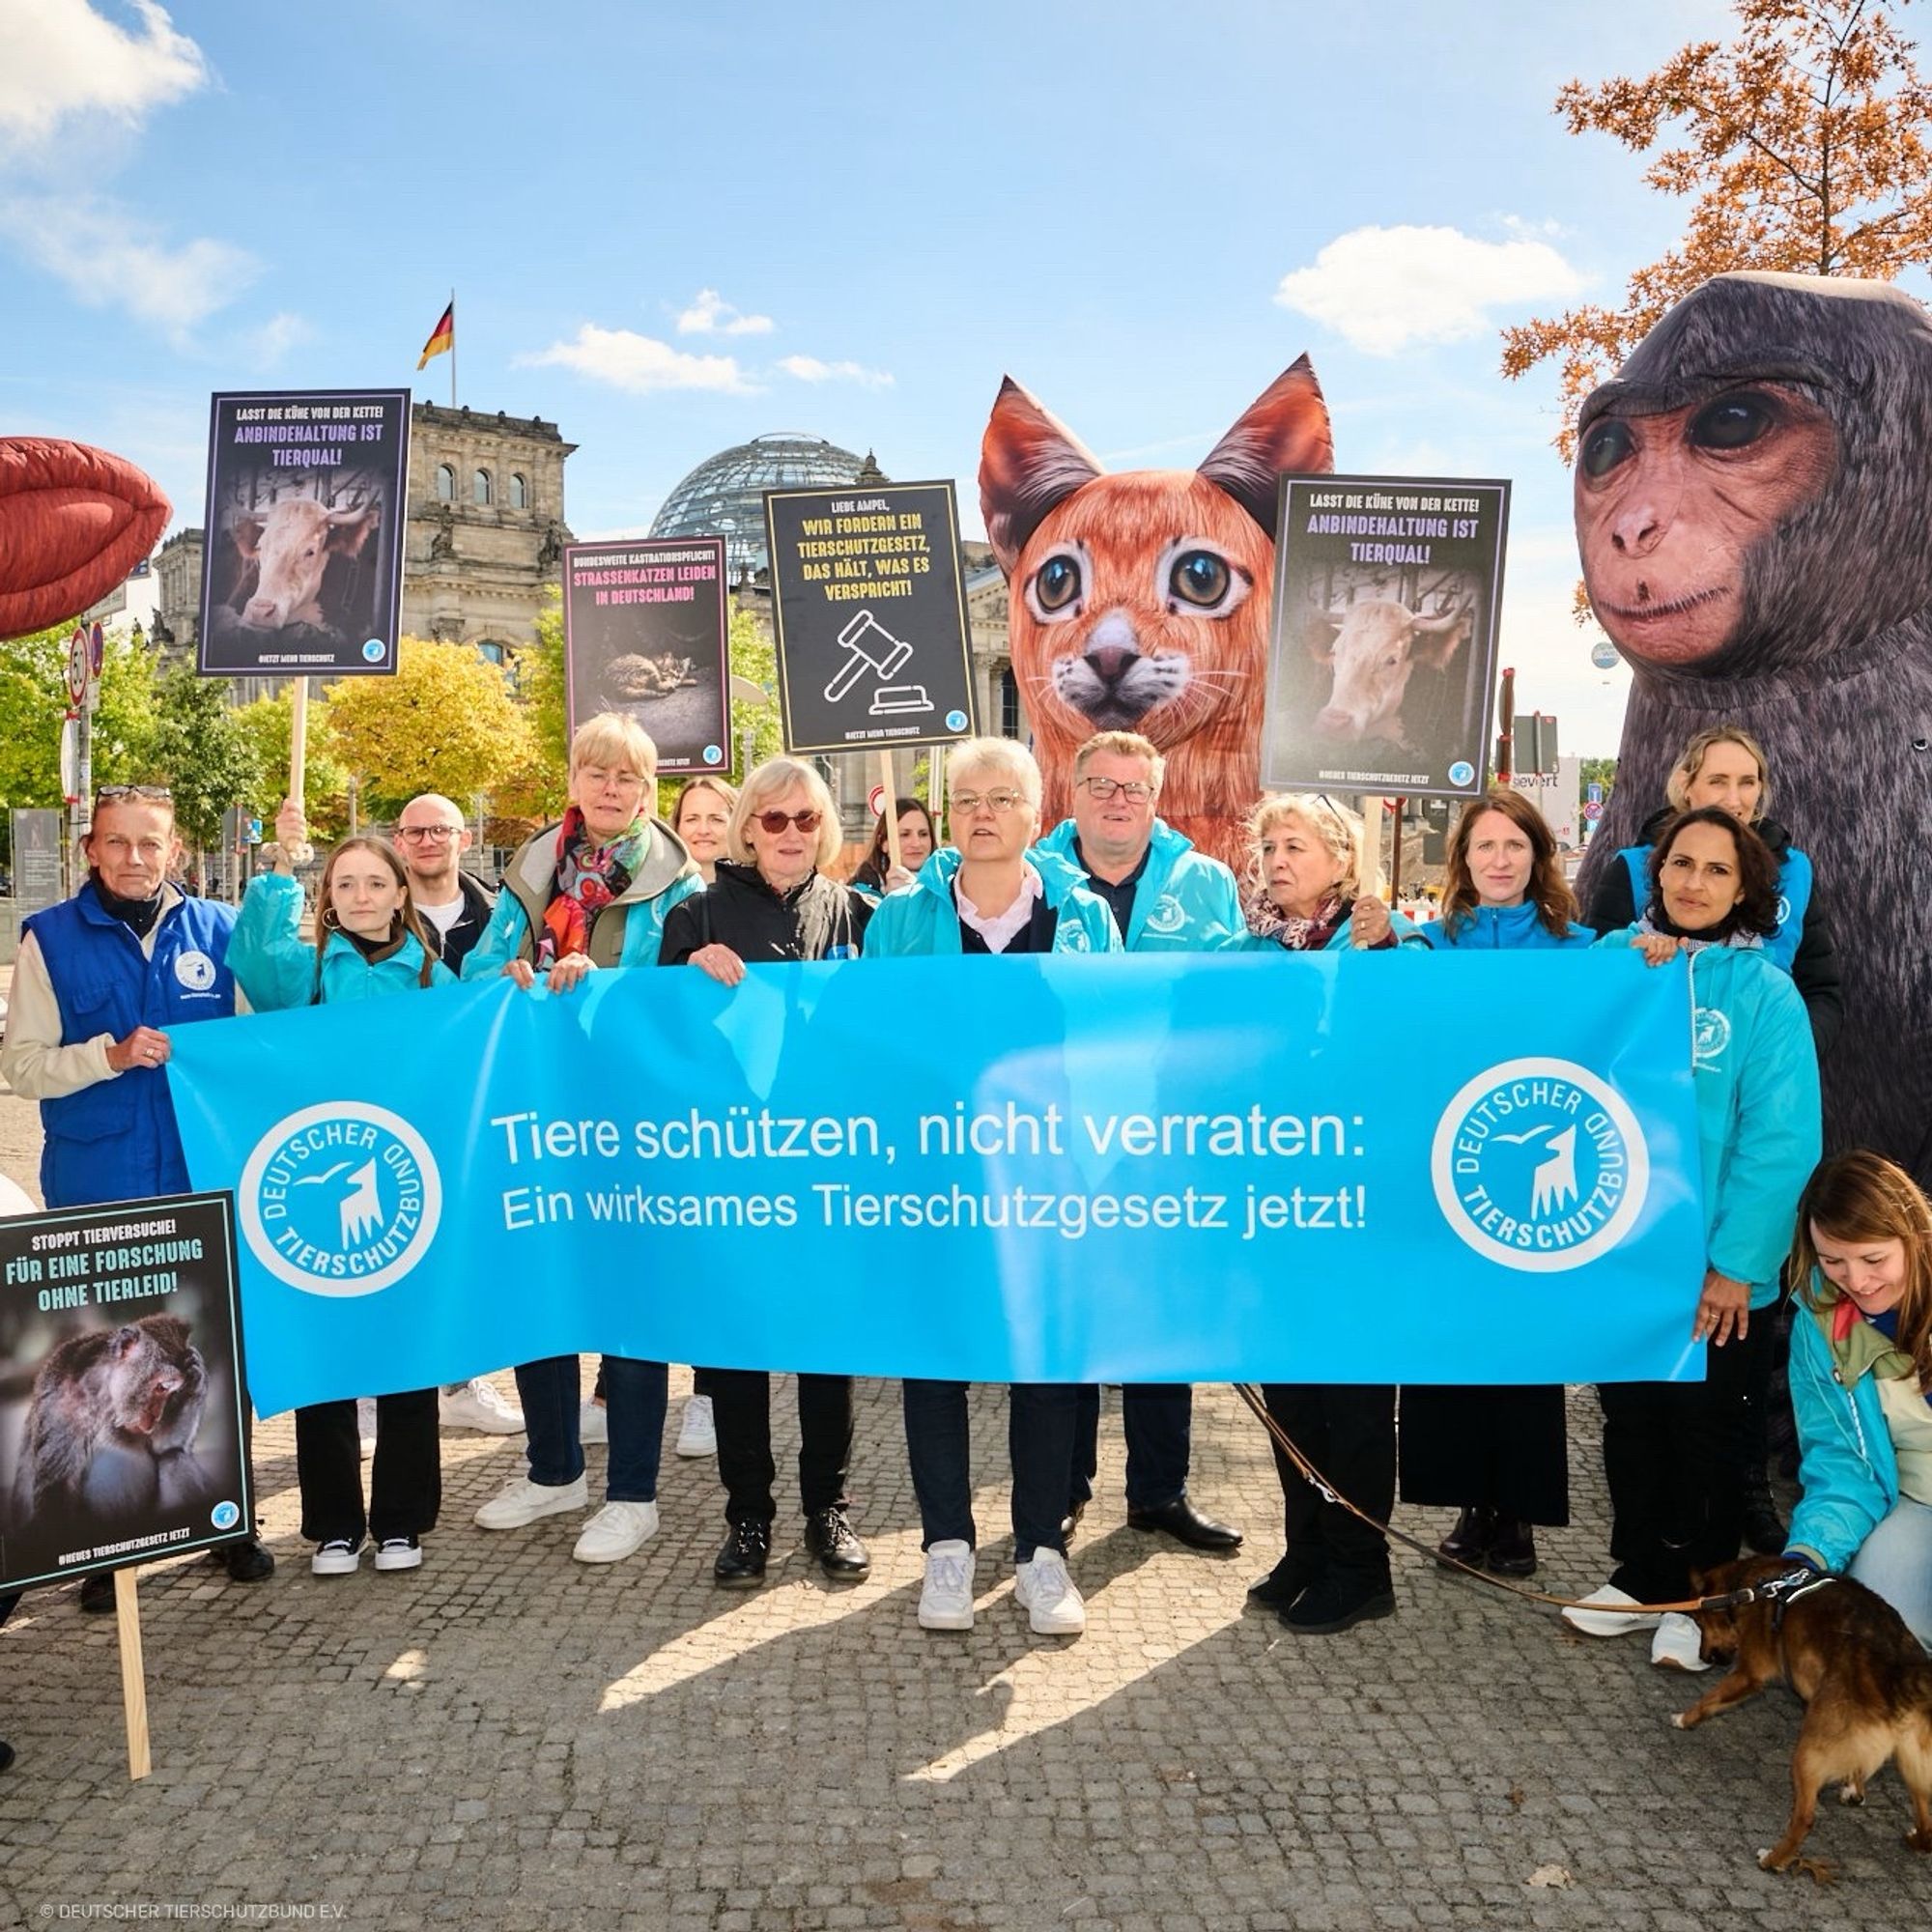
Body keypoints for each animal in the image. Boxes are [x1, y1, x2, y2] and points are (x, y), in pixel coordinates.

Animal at [1669, 1553, 1932, 1886]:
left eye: (1701, 1622)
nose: (1706, 1658)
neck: (1751, 1585)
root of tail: (1899, 1676)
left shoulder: (1749, 1673)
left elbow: (1711, 1699)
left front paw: (1684, 1718)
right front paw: (1853, 1787)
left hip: (1807, 1755)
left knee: (1805, 1818)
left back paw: (1773, 1859)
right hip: (1915, 1768)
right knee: (1928, 1829)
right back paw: (1912, 1837)